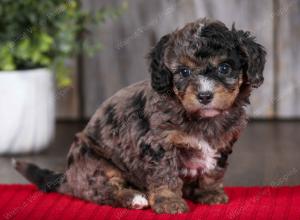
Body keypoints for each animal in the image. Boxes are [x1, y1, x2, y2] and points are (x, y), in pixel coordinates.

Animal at [15, 18, 266, 214]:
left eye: (224, 68)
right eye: (184, 72)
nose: (204, 95)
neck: (202, 118)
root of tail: (67, 177)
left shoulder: (222, 144)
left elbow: (213, 171)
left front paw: (210, 193)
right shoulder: (159, 144)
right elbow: (165, 174)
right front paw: (169, 202)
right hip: (96, 163)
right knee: (102, 191)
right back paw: (134, 198)